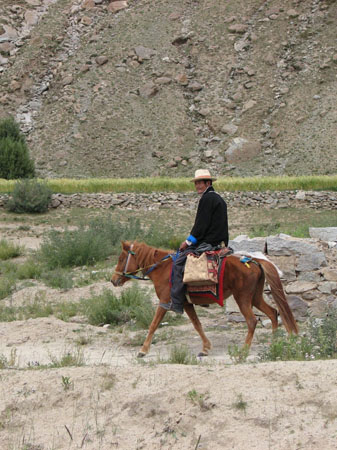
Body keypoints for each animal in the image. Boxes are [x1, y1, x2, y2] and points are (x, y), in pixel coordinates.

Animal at [110, 241, 296, 356]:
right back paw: (273, 343)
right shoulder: (186, 304)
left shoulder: (165, 302)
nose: (113, 280)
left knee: (252, 321)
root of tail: (254, 260)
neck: (162, 269)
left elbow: (153, 325)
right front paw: (206, 348)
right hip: (255, 297)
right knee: (273, 313)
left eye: (121, 259)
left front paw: (143, 350)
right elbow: (197, 325)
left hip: (242, 298)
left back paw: (244, 350)